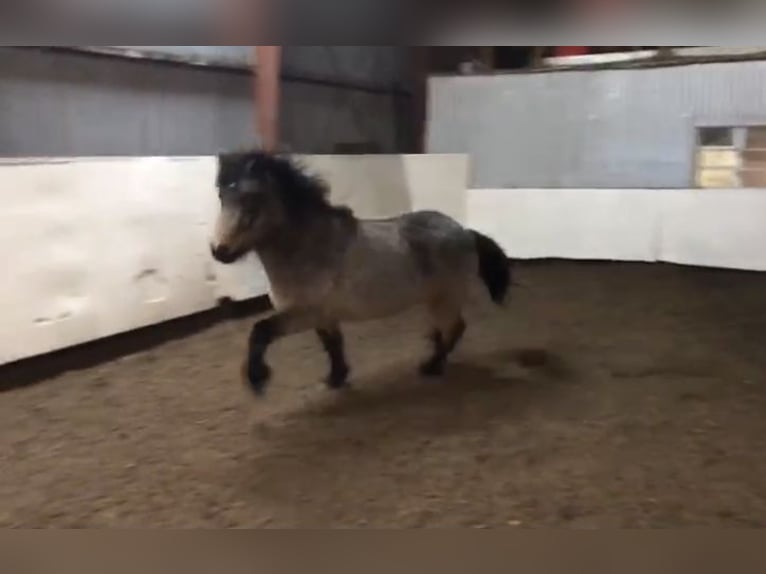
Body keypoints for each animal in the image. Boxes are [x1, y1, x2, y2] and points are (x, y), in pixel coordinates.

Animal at [210, 150, 512, 396]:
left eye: (251, 199)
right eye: (222, 197)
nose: (219, 251)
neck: (311, 249)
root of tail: (465, 231)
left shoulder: (305, 314)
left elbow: (260, 330)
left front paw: (258, 379)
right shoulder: (323, 316)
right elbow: (333, 345)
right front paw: (335, 379)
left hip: (446, 298)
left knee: (455, 328)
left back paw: (432, 367)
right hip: (435, 300)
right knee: (444, 330)